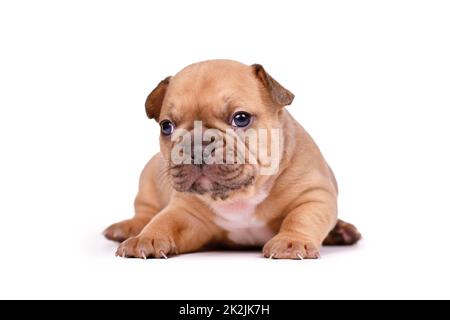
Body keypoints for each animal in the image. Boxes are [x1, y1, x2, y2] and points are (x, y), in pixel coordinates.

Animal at [103, 60, 360, 260]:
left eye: (241, 118)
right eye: (166, 126)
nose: (197, 145)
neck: (240, 197)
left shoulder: (314, 195)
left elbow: (302, 217)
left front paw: (291, 241)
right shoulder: (185, 212)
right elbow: (164, 220)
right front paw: (146, 238)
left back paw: (341, 231)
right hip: (147, 179)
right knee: (145, 211)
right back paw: (128, 228)